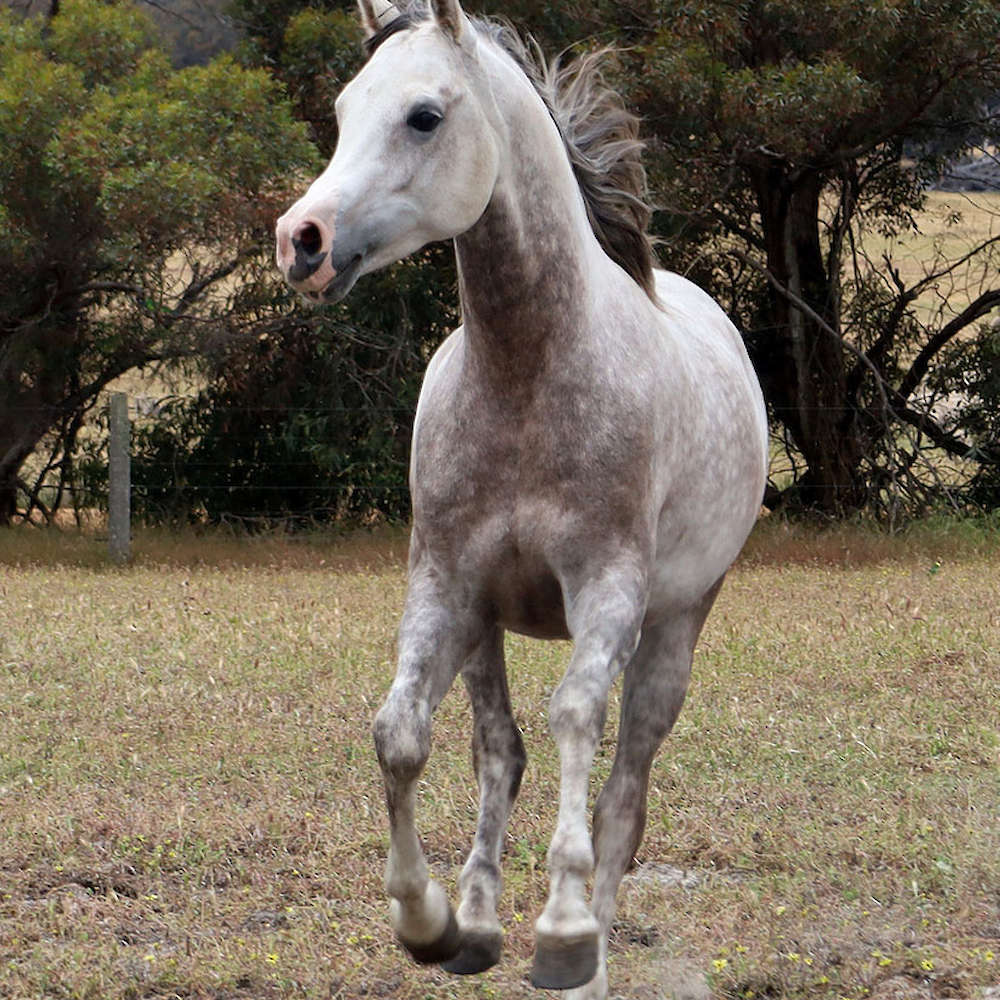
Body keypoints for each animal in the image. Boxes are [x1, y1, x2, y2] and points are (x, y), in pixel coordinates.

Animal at [275, 1, 768, 995]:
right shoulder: (448, 587)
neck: (526, 374)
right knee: (499, 753)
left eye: (425, 115)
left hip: (678, 622)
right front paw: (429, 921)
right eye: (345, 111)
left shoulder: (608, 592)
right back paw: (476, 921)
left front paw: (567, 928)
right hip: (488, 626)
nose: (300, 240)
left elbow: (577, 719)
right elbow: (404, 735)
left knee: (625, 787)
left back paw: (591, 949)